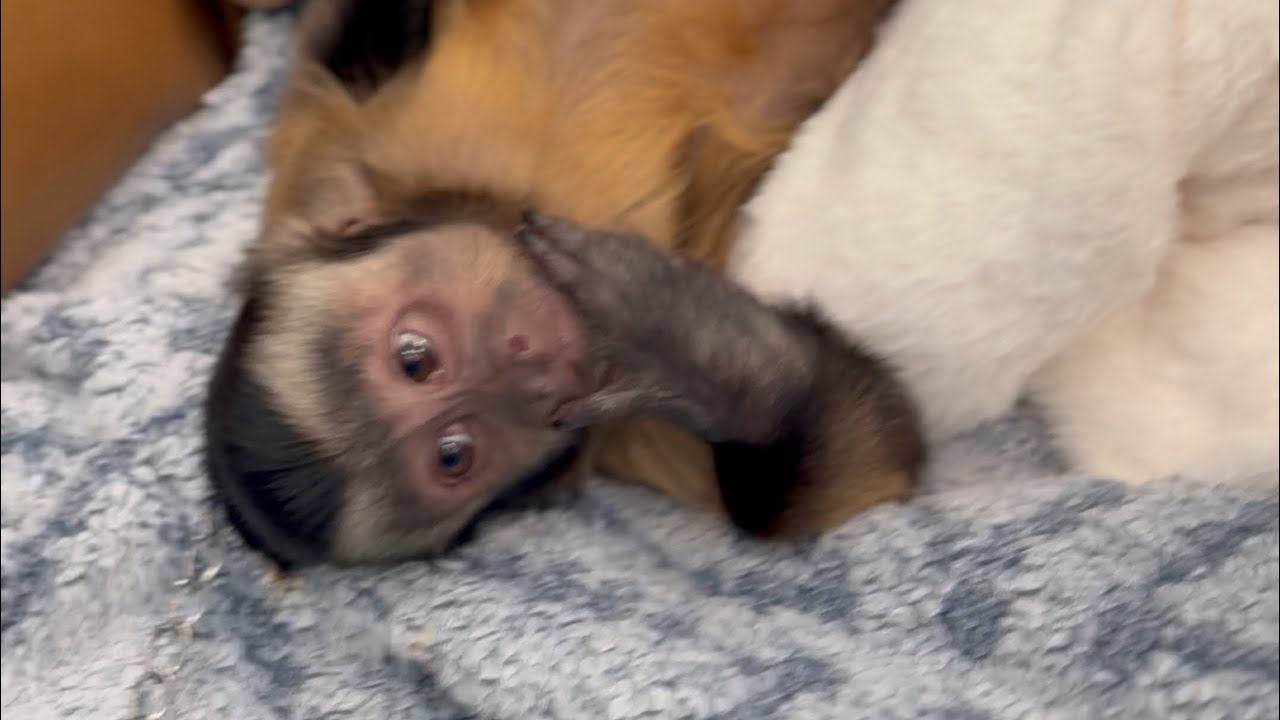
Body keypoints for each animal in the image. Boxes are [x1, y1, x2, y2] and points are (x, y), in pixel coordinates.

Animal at [203, 0, 914, 571]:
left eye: (414, 358)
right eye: (455, 454)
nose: (528, 367)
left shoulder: (325, 155)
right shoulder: (624, 434)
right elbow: (862, 473)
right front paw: (692, 349)